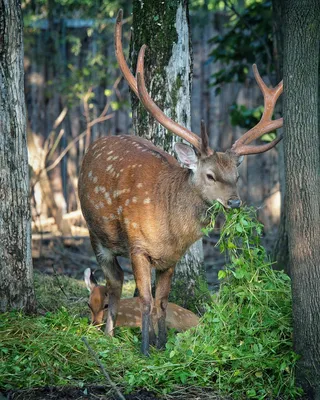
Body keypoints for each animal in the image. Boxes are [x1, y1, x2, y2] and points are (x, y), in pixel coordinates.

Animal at [78, 8, 282, 354]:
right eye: (210, 174)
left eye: (236, 175)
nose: (235, 201)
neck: (171, 231)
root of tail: (95, 143)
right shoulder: (138, 245)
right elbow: (145, 300)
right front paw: (145, 351)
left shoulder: (172, 258)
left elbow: (162, 301)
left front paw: (162, 345)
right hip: (96, 233)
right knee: (114, 280)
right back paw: (108, 334)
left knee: (114, 282)